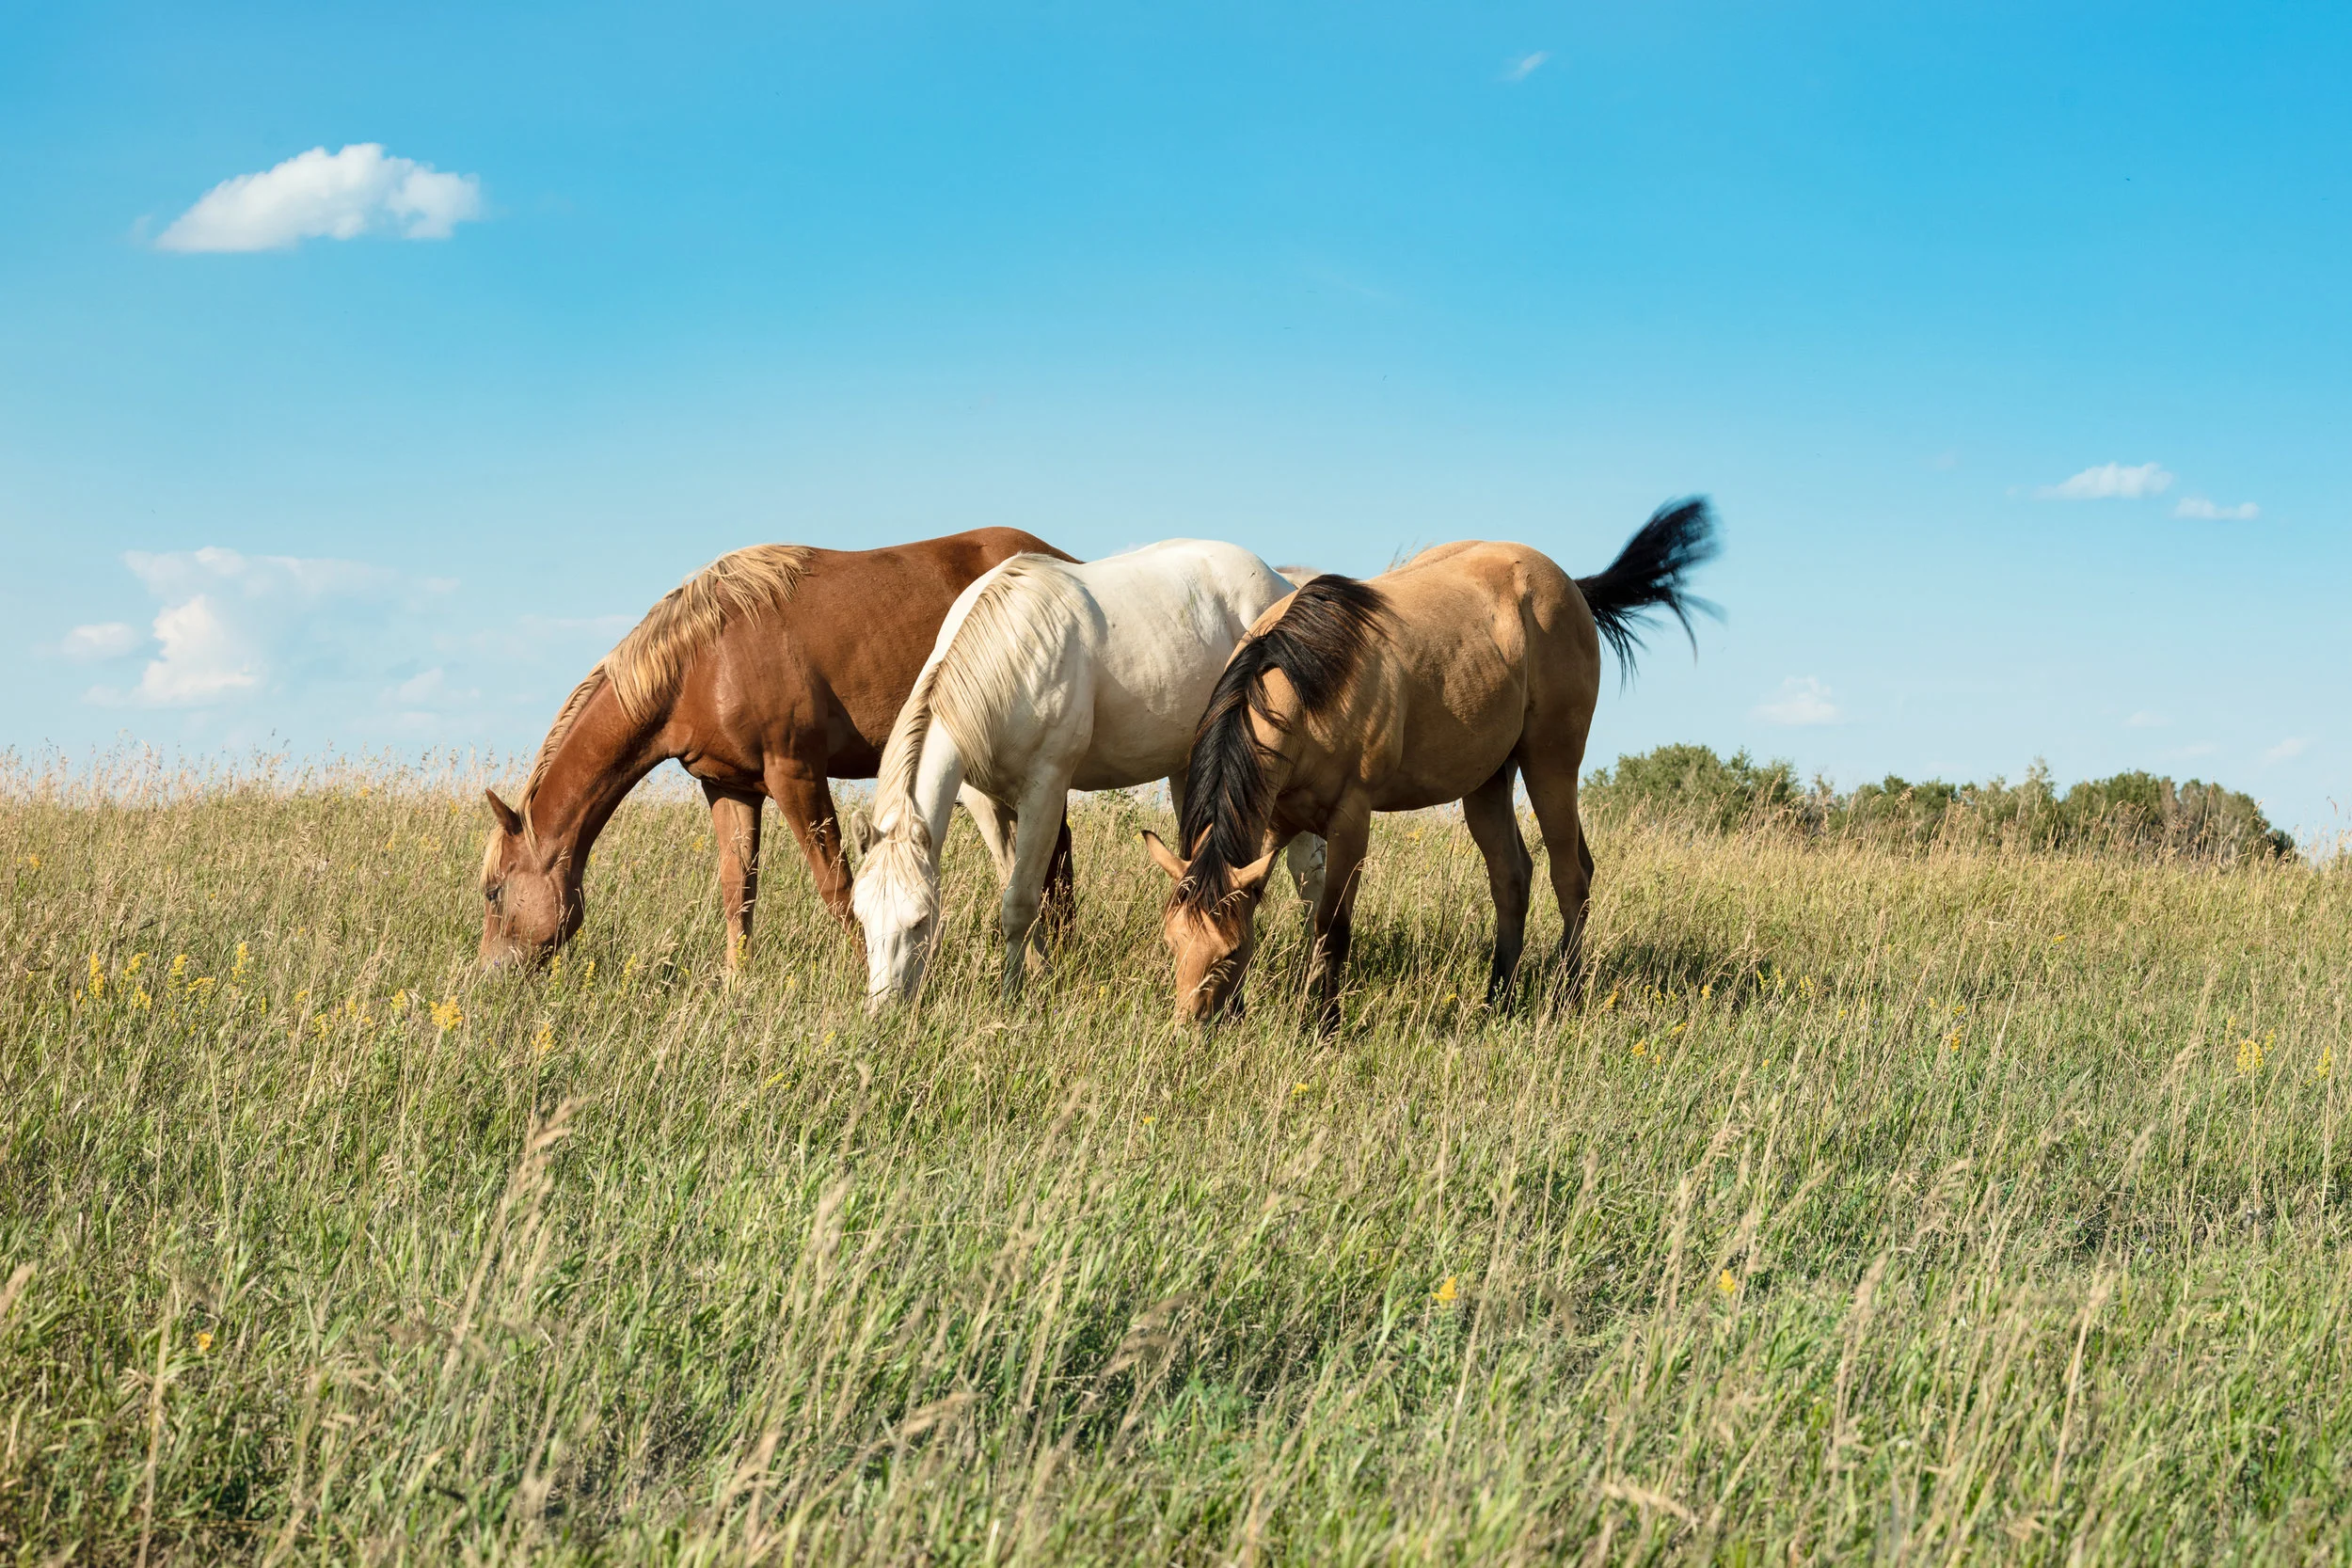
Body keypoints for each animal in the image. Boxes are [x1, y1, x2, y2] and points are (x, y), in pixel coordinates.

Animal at [478, 527, 1078, 971]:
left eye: (493, 893)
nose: (490, 975)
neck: (703, 660)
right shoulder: (729, 788)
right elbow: (737, 890)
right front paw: (736, 988)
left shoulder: (796, 776)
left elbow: (837, 887)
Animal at [850, 540, 1328, 1009]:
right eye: (862, 915)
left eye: (920, 919)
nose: (883, 1010)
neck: (1010, 651)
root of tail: (1282, 584)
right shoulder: (984, 802)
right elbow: (1014, 885)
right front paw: (1039, 973)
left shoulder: (1046, 790)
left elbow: (1019, 903)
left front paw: (1012, 998)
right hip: (1189, 767)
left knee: (1308, 874)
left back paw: (1313, 981)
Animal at [1141, 499, 1718, 1031]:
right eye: (1173, 942)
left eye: (1229, 950)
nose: (1192, 1026)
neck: (1310, 681)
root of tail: (1571, 587)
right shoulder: (1271, 823)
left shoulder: (1351, 821)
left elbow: (1332, 926)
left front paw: (1323, 1025)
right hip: (1488, 780)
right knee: (1512, 877)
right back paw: (1496, 1001)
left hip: (1552, 761)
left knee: (1570, 876)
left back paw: (1567, 997)